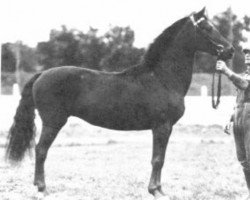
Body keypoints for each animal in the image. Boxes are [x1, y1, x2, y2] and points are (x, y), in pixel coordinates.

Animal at [5, 7, 234, 199]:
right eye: (207, 28)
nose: (230, 50)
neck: (161, 78)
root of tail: (42, 74)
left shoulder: (163, 128)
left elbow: (160, 159)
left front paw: (159, 189)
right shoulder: (162, 126)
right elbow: (157, 159)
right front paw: (155, 191)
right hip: (53, 122)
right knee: (40, 150)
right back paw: (43, 188)